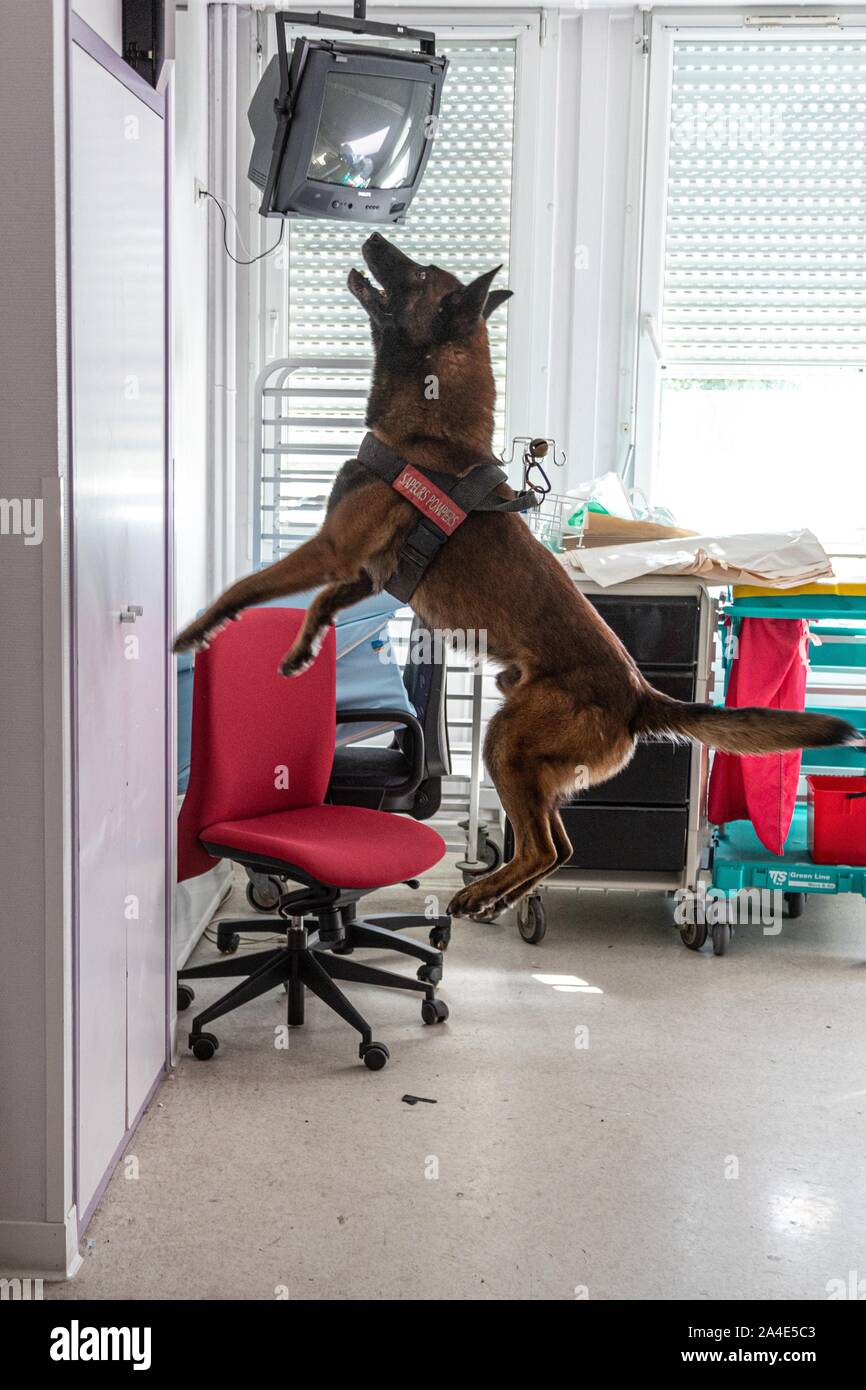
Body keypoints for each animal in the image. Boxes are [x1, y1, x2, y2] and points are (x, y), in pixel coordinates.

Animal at [176, 233, 861, 917]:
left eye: (418, 273)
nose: (372, 236)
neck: (428, 429)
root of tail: (642, 696)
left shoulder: (331, 549)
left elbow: (247, 586)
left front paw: (194, 631)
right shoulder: (363, 572)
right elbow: (320, 603)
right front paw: (301, 650)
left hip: (506, 740)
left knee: (541, 847)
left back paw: (477, 894)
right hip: (531, 761)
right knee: (559, 848)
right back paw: (495, 896)